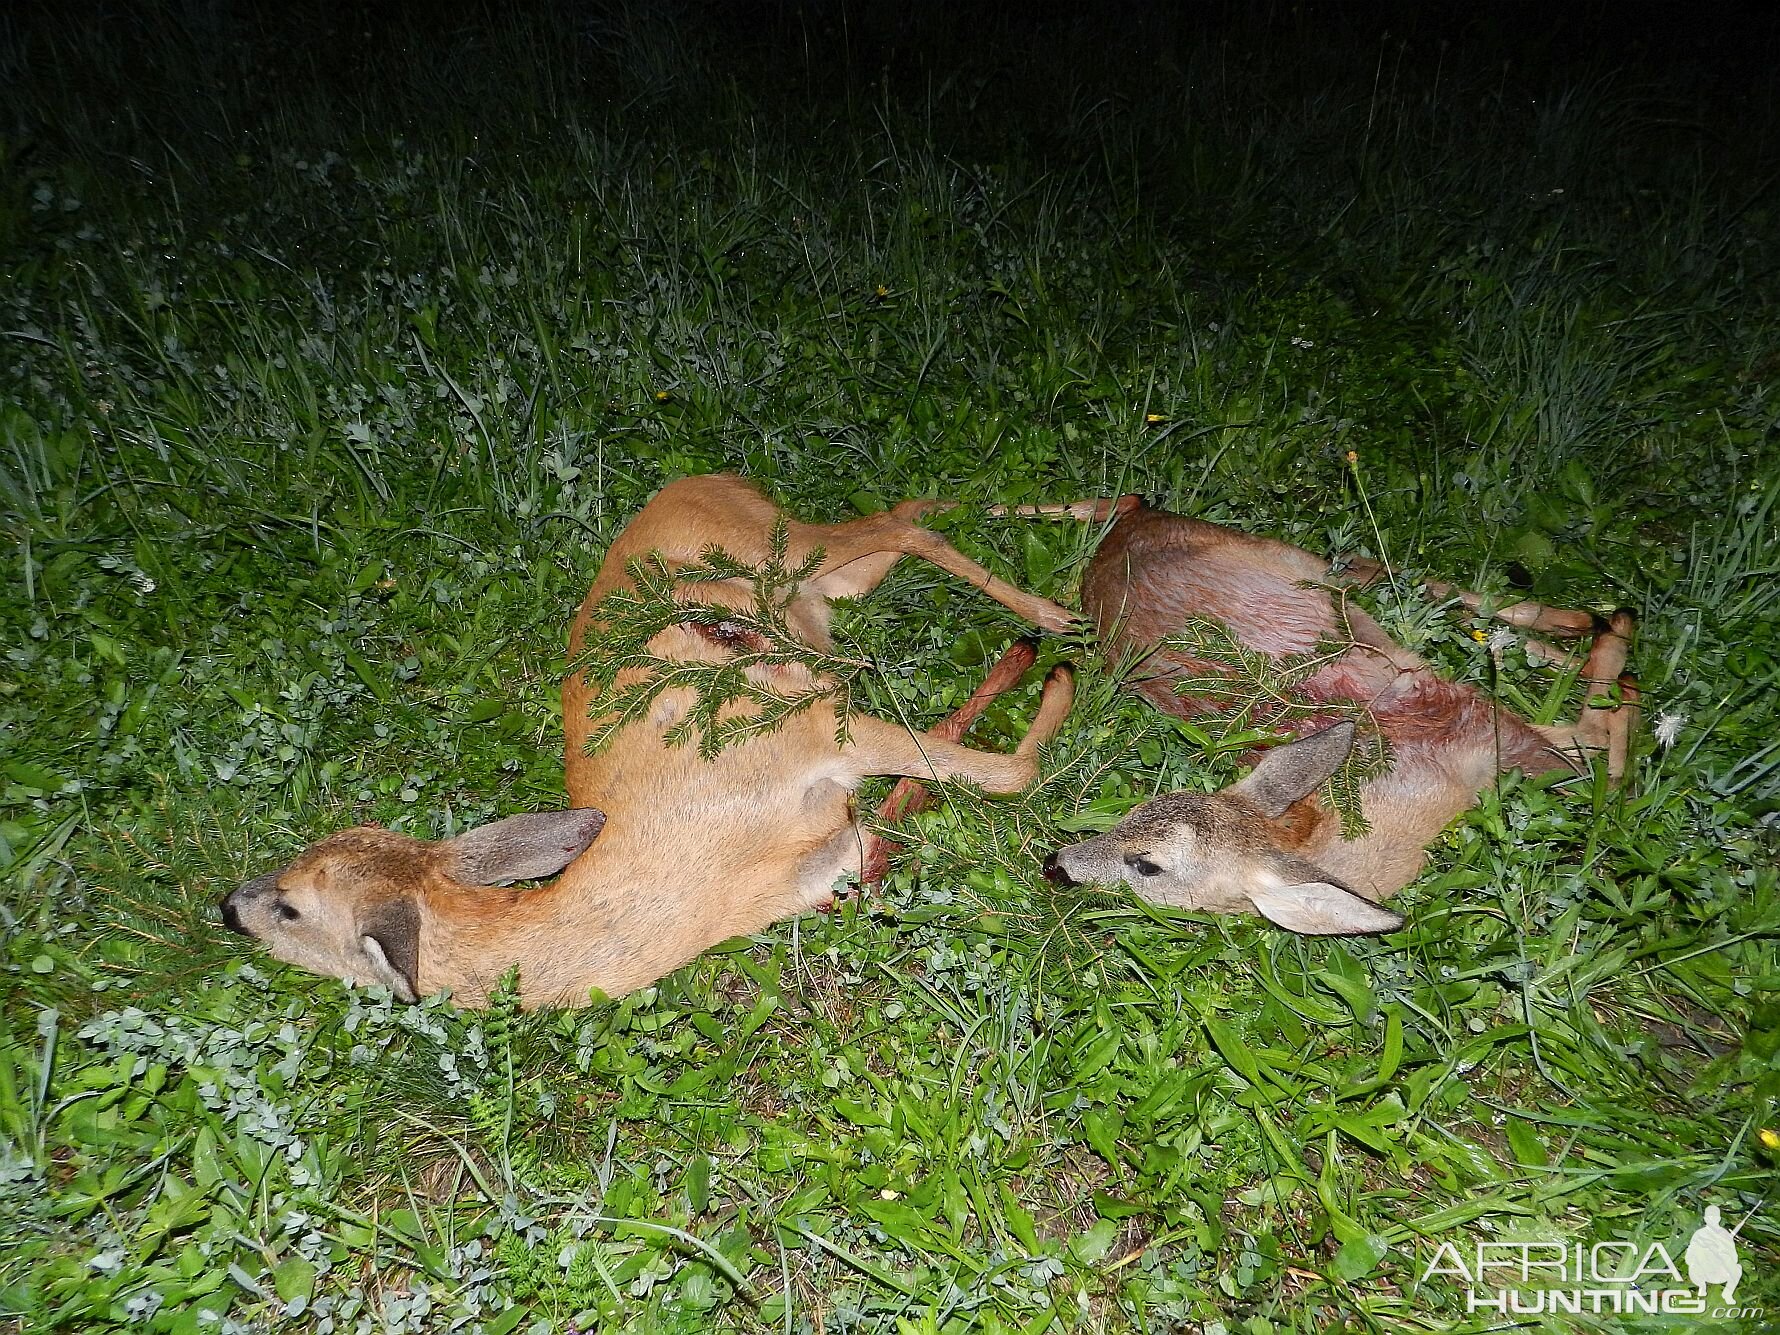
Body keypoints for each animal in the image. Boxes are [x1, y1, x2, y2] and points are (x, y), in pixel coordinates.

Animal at [227, 477, 1075, 1011]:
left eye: (293, 905)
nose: (229, 904)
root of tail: (698, 476)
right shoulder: (831, 854)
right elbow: (942, 770)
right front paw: (1020, 668)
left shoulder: (806, 736)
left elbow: (1012, 772)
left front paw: (1055, 683)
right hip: (824, 583)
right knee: (907, 515)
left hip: (782, 550)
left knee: (906, 518)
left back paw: (1059, 617)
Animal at [1039, 501, 1637, 939]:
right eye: (1131, 812)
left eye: (1147, 866)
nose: (1056, 863)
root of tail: (1131, 524)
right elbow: (1590, 751)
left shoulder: (1469, 716)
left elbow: (1592, 754)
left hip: (1303, 567)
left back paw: (1599, 624)